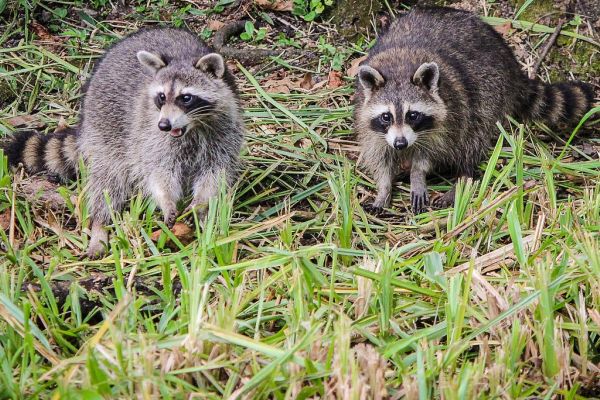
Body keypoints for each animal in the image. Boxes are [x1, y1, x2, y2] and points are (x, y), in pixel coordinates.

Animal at [4, 28, 244, 260]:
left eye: (186, 98)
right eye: (162, 97)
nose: (164, 125)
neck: (193, 127)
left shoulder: (224, 133)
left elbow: (215, 173)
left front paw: (201, 205)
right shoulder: (150, 135)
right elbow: (157, 172)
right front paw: (166, 200)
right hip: (105, 128)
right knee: (108, 181)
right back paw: (100, 225)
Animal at [354, 7, 596, 214]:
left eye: (412, 115)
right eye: (386, 117)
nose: (400, 144)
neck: (398, 68)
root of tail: (511, 64)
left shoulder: (448, 116)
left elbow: (430, 153)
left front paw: (418, 175)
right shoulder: (370, 124)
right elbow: (379, 157)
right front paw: (384, 188)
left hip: (490, 92)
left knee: (473, 135)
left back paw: (463, 177)